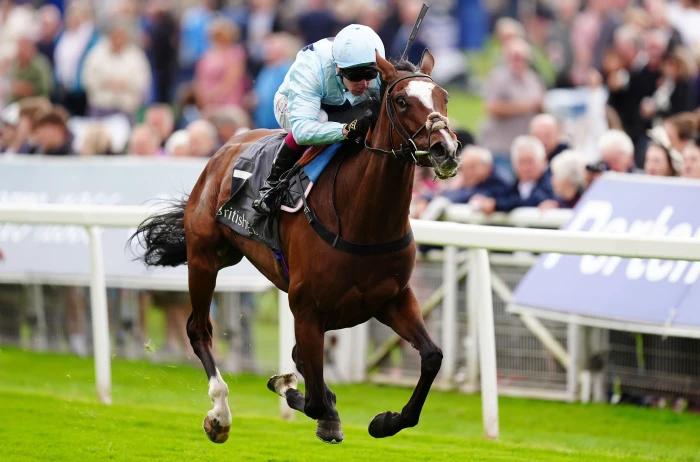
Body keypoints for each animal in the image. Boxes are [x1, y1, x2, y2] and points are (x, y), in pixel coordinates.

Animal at [131, 52, 460, 446]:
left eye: (443, 97)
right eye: (401, 101)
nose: (446, 149)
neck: (363, 219)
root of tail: (224, 149)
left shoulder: (392, 298)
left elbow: (432, 357)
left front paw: (386, 421)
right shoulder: (307, 309)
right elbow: (313, 397)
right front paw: (291, 389)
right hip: (204, 258)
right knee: (199, 329)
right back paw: (220, 414)